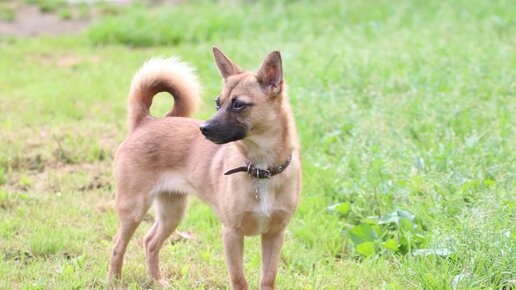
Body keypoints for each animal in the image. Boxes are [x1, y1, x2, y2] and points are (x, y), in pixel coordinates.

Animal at [108, 46, 302, 288]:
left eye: (238, 104)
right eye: (218, 103)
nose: (204, 128)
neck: (260, 168)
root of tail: (145, 122)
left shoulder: (274, 235)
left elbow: (268, 278)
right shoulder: (231, 235)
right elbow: (239, 279)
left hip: (172, 212)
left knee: (150, 241)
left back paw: (156, 280)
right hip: (133, 209)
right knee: (118, 245)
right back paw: (113, 280)